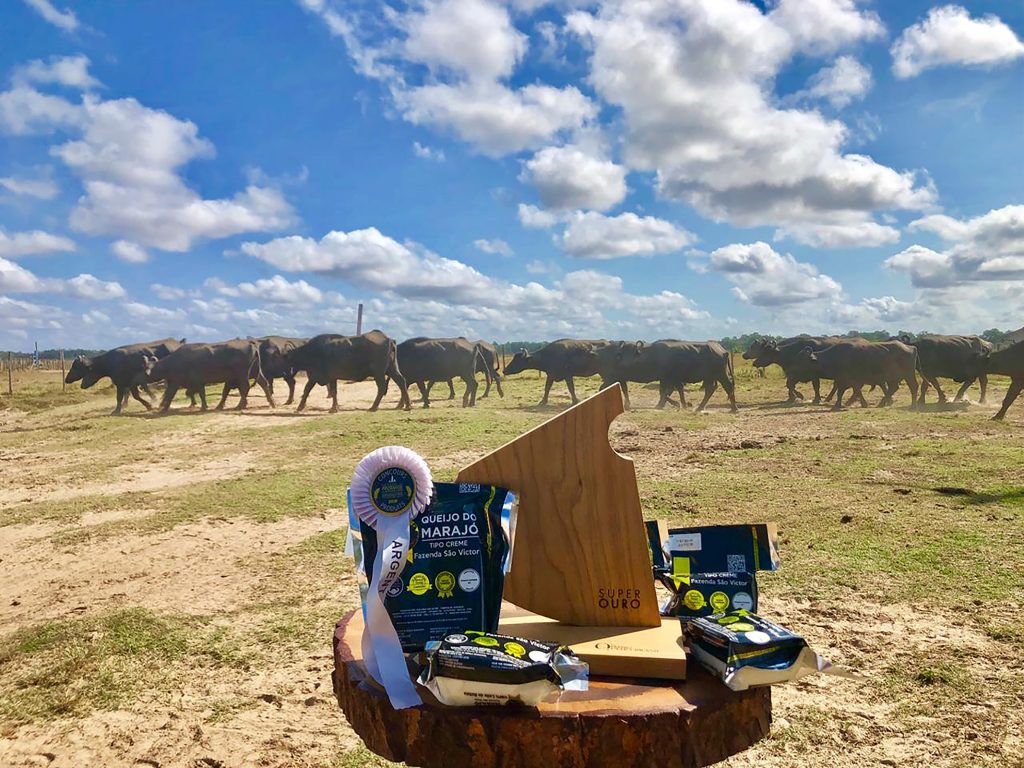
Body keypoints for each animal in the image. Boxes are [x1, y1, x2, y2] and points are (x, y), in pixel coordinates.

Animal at [598, 342, 737, 415]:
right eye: (621, 353)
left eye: (632, 352)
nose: (621, 363)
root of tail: (722, 350)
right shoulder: (666, 379)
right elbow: (665, 392)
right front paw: (666, 404)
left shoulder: (670, 378)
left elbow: (667, 392)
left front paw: (678, 404)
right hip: (710, 377)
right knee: (710, 389)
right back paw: (700, 407)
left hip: (721, 375)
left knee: (728, 387)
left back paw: (733, 408)